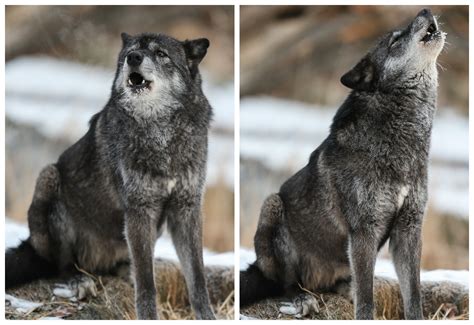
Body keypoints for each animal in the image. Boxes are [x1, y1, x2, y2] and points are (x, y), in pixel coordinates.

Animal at [243, 8, 446, 318]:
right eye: (395, 39)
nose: (425, 10)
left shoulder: (409, 231)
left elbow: (413, 295)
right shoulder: (363, 231)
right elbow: (366, 300)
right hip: (272, 206)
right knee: (284, 285)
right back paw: (302, 299)